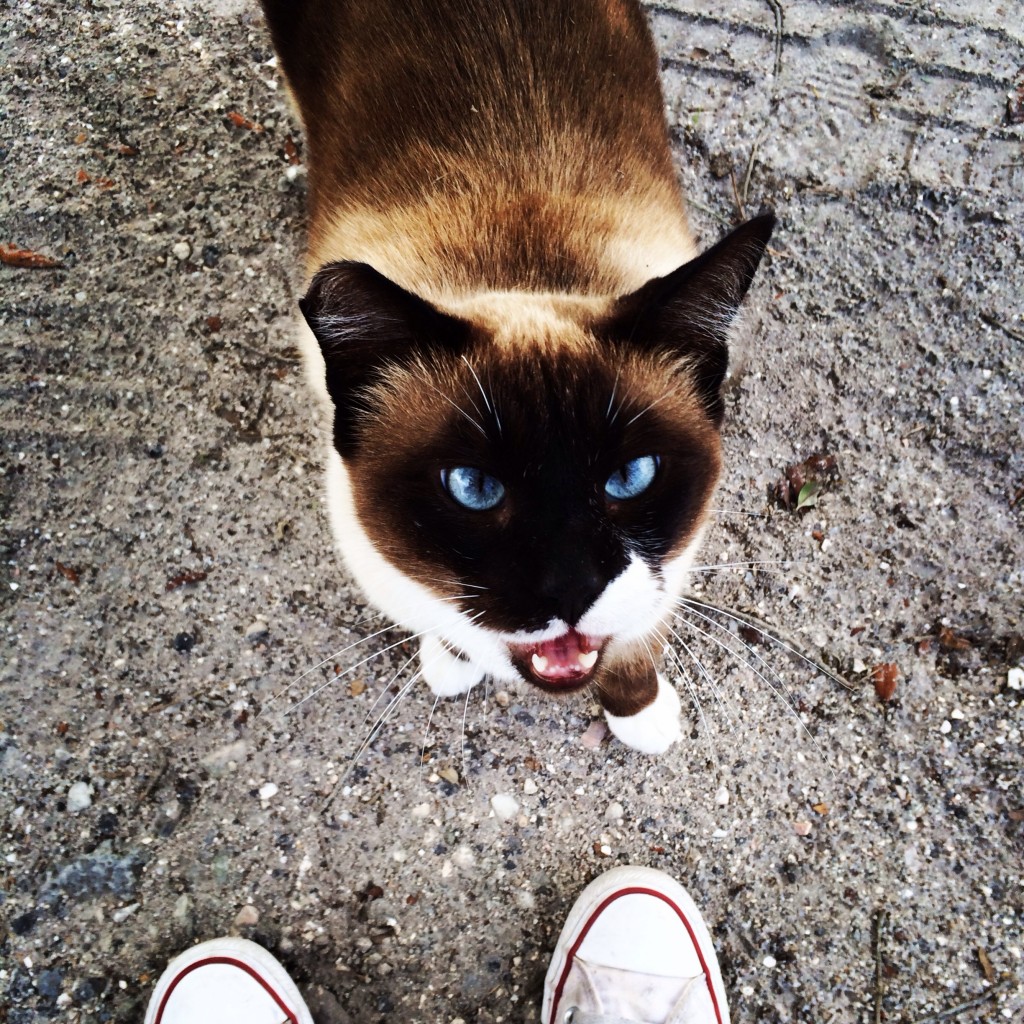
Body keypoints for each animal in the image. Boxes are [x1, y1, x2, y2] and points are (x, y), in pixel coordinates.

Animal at [260, 0, 770, 753]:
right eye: (473, 488)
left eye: (631, 478)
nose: (571, 589)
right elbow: (445, 620)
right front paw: (452, 664)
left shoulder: (670, 570)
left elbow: (637, 636)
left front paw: (641, 715)